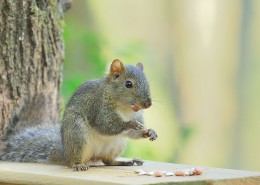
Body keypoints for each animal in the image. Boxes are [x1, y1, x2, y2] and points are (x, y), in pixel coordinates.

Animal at [0, 59, 157, 171]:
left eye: (148, 83)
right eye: (128, 84)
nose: (148, 104)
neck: (125, 109)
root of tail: (65, 153)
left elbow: (133, 133)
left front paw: (149, 132)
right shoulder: (98, 108)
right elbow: (105, 125)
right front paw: (130, 124)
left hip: (117, 144)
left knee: (107, 161)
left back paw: (125, 162)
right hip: (77, 134)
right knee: (73, 161)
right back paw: (78, 164)